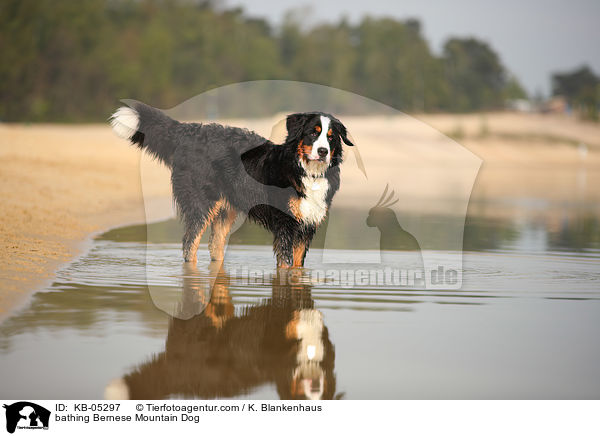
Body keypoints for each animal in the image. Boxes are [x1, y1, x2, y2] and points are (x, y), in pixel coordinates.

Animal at [109, 100, 352, 268]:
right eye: (313, 133)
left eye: (331, 137)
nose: (323, 151)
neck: (308, 172)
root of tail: (187, 132)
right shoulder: (286, 223)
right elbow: (286, 264)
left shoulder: (307, 226)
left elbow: (297, 267)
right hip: (201, 206)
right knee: (189, 245)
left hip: (224, 211)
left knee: (214, 247)